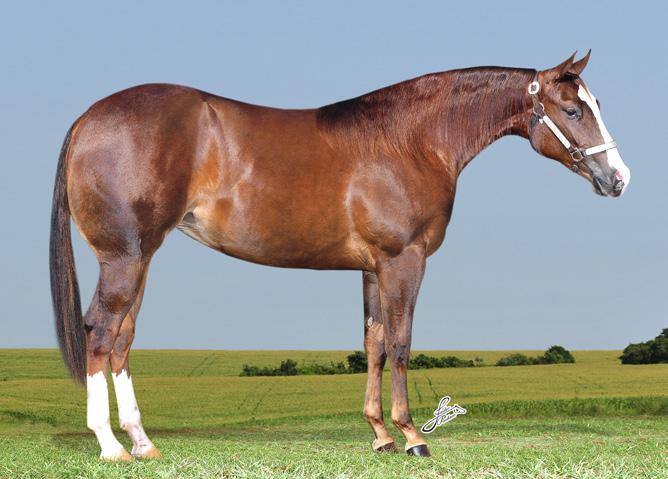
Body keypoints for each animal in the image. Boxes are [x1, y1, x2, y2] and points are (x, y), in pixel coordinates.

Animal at [49, 49, 628, 462]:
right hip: (123, 257)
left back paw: (143, 442)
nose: (619, 179)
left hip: (141, 257)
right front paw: (412, 436)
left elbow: (373, 345)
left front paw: (380, 435)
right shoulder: (404, 260)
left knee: (122, 339)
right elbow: (401, 343)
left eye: (597, 106)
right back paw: (110, 446)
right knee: (99, 332)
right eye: (573, 109)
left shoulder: (372, 269)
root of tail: (87, 119)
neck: (409, 141)